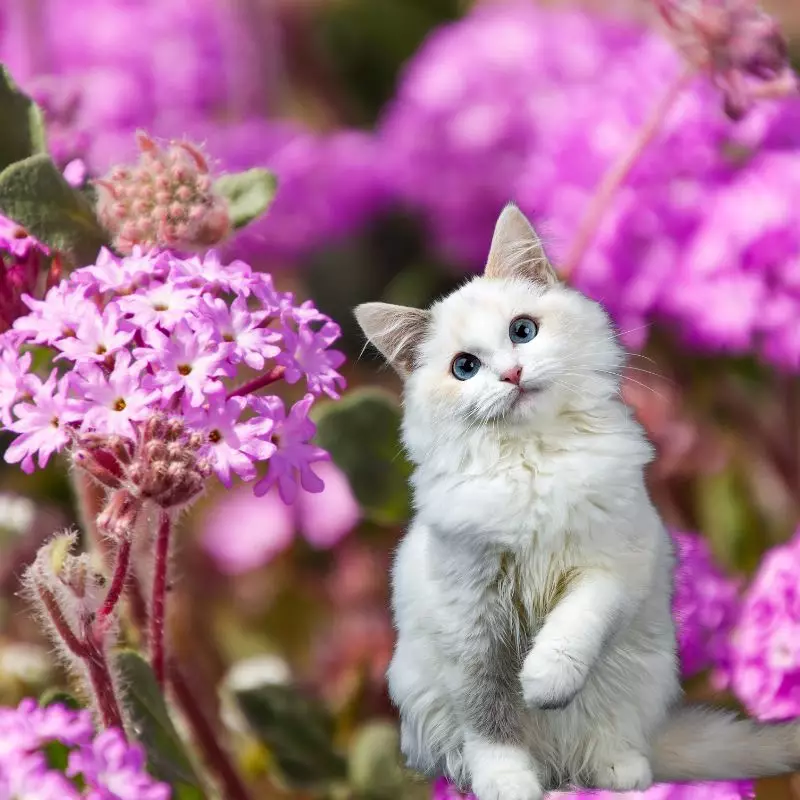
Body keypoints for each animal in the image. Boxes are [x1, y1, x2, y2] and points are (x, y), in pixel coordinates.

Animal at [354, 206, 800, 800]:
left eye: (523, 331)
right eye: (465, 368)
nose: (512, 374)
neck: (535, 462)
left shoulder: (611, 566)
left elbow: (572, 628)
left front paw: (544, 683)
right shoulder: (471, 621)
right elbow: (490, 717)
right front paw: (508, 781)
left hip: (639, 674)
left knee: (614, 740)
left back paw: (618, 771)